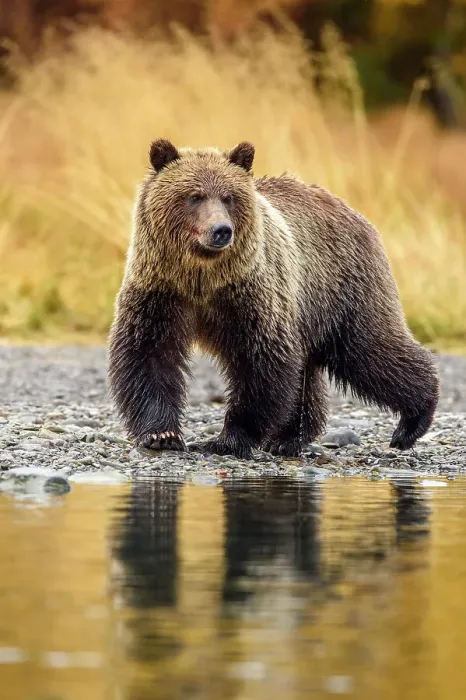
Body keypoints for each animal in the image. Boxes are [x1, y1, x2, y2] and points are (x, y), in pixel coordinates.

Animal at [107, 139, 439, 460]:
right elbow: (149, 353)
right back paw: (289, 438)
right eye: (194, 196)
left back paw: (411, 422)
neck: (202, 278)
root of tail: (352, 211)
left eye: (228, 196)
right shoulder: (161, 290)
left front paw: (228, 440)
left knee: (371, 349)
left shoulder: (252, 294)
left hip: (343, 289)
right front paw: (161, 435)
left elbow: (261, 361)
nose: (221, 230)